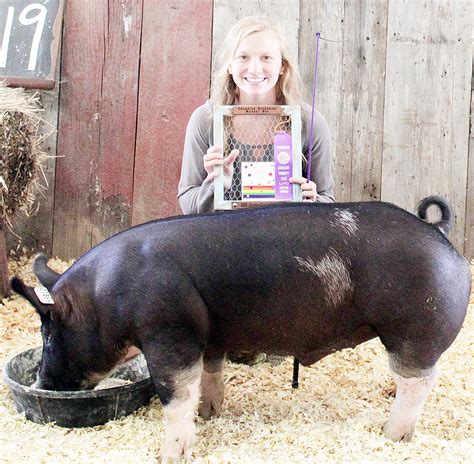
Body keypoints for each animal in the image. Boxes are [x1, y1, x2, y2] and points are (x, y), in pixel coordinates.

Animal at [10, 197, 470, 464]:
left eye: (48, 333)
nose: (43, 384)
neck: (107, 294)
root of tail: (438, 232)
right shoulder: (210, 335)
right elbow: (210, 375)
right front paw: (210, 414)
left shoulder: (169, 330)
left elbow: (175, 395)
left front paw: (169, 455)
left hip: (414, 329)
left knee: (418, 381)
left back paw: (392, 436)